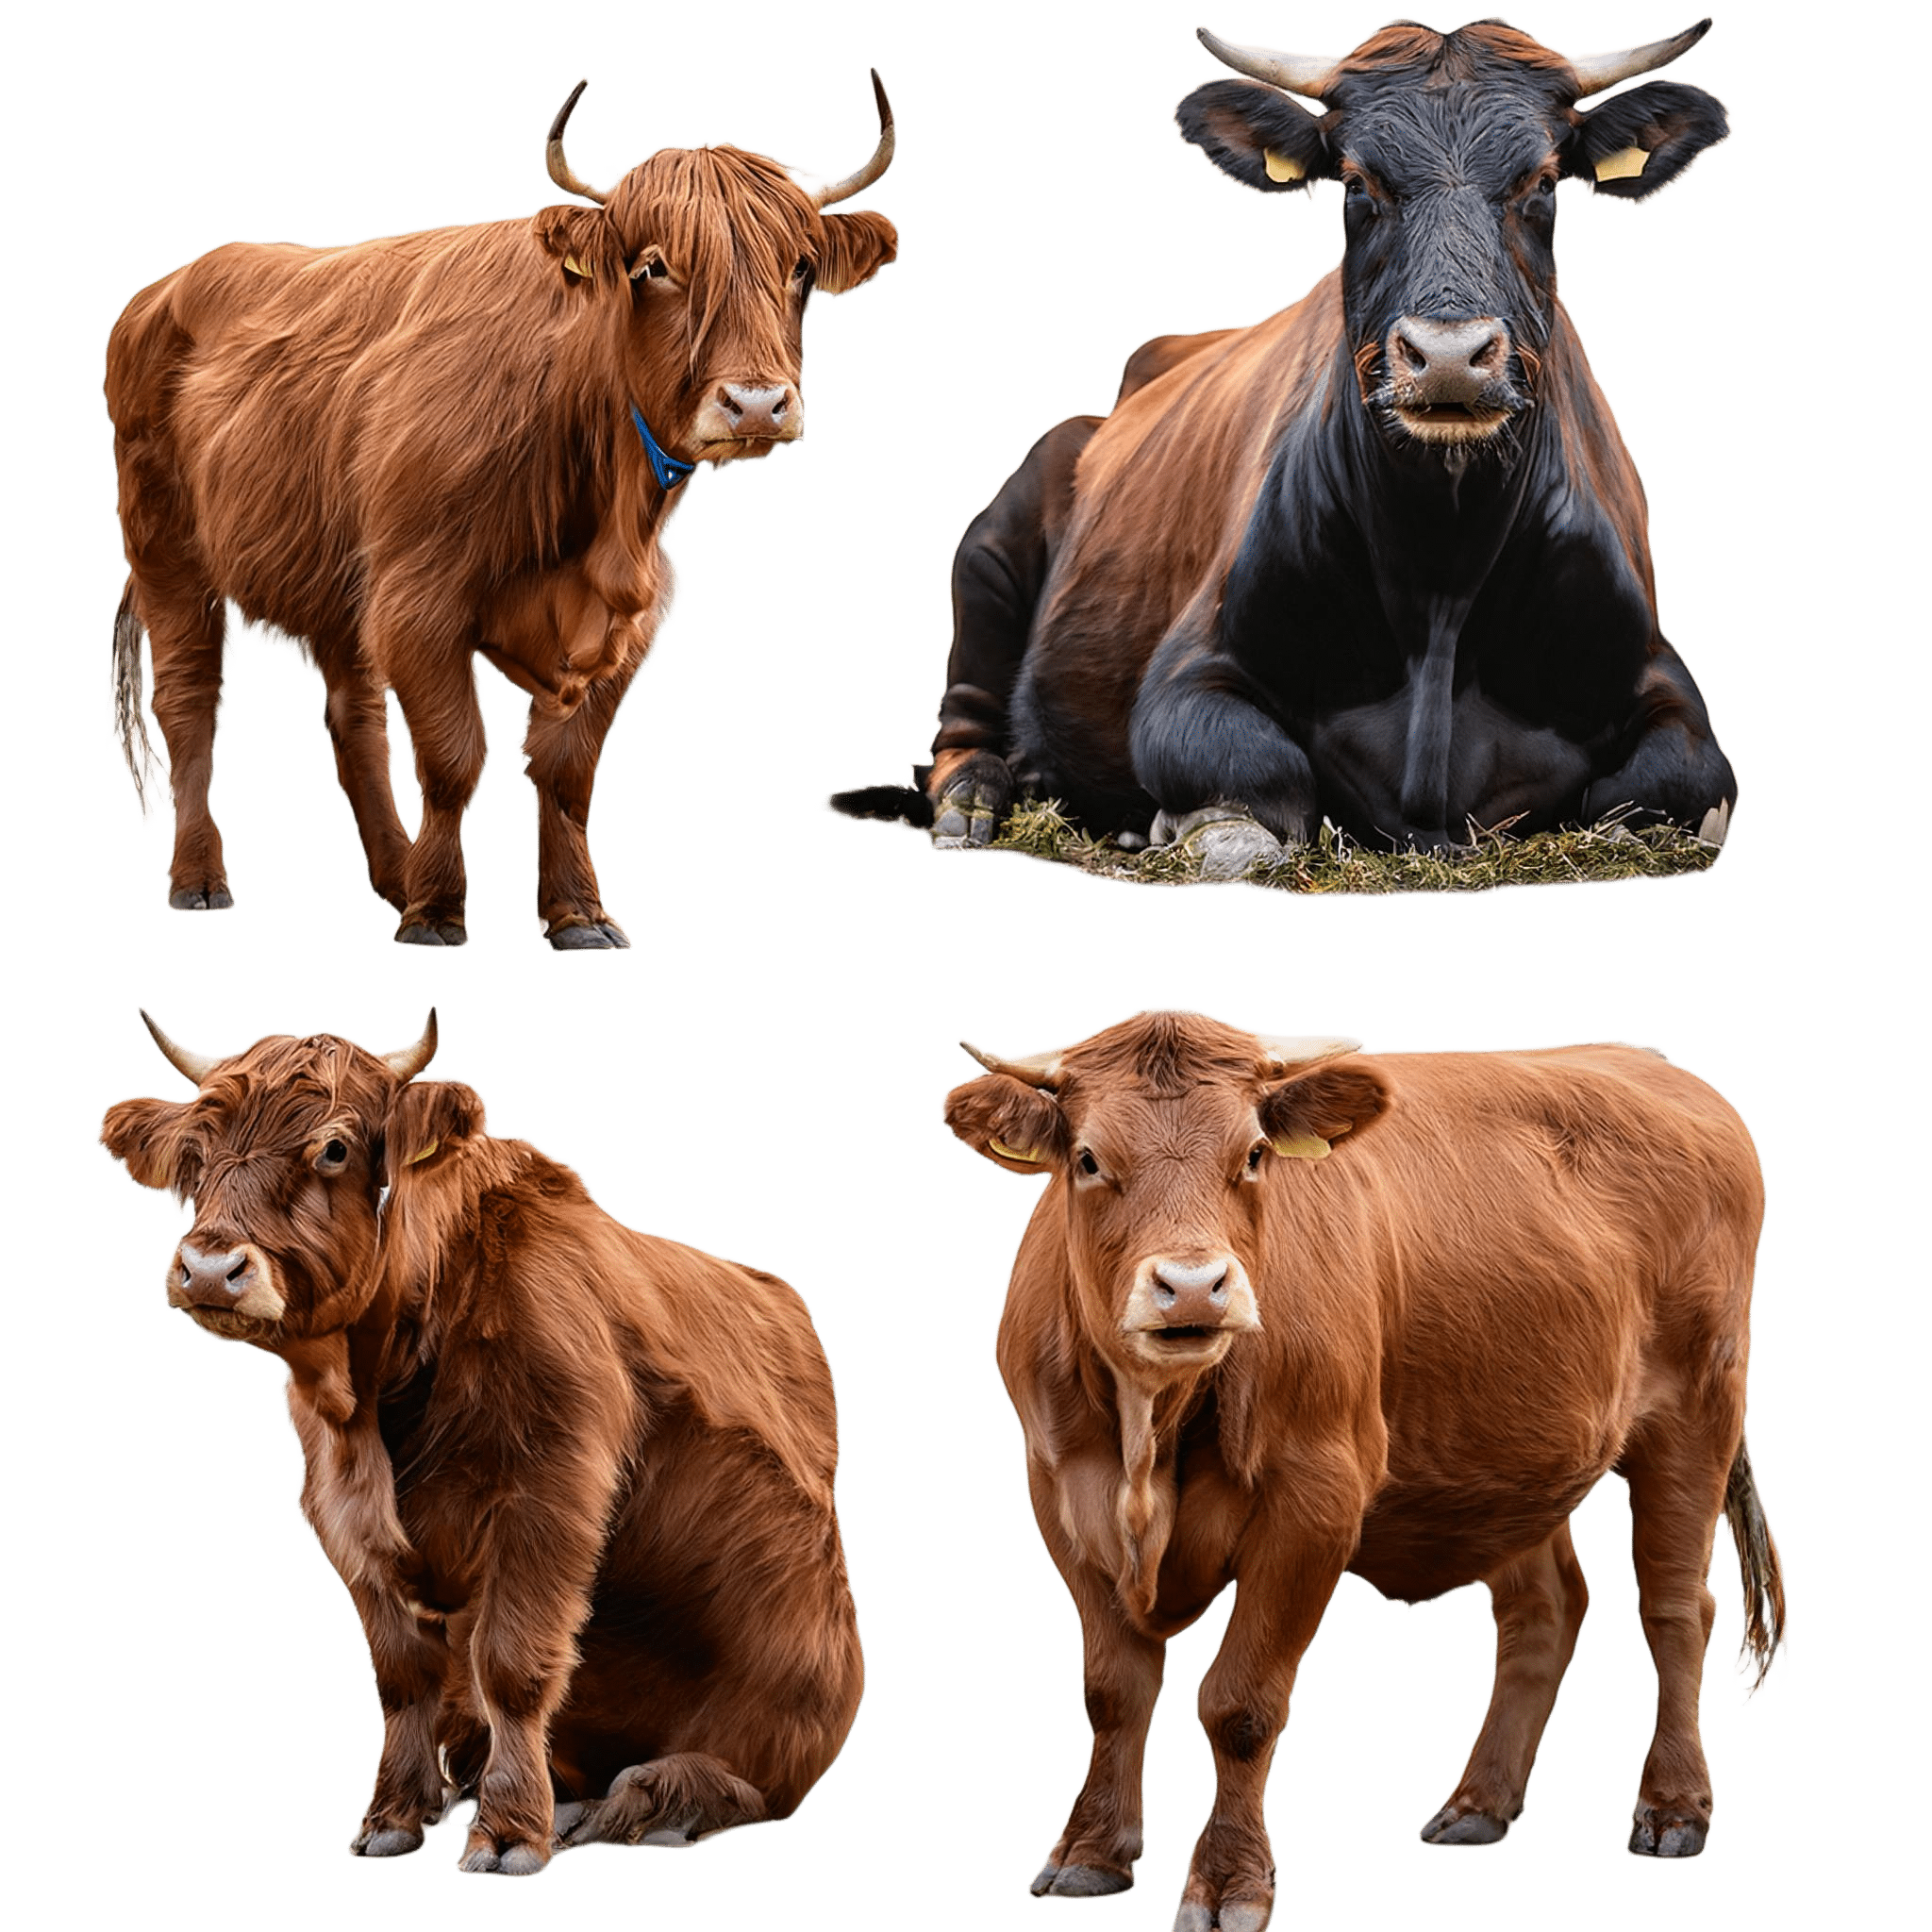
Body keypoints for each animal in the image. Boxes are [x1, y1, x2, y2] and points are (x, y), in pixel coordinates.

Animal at [100, 1010, 863, 1875]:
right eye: (195, 1154)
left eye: (334, 1147)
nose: (207, 1269)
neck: (376, 1392)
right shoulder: (344, 1517)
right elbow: (403, 1679)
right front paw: (394, 1815)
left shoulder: (549, 1497)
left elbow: (512, 1664)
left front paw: (509, 1833)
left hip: (794, 1675)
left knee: (752, 1781)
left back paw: (652, 1800)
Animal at [108, 75, 898, 947]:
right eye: (653, 267)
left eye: (801, 268)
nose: (757, 404)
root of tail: (165, 288)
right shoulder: (420, 601)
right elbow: (455, 756)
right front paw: (437, 913)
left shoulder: (616, 630)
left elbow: (566, 771)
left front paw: (578, 913)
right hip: (168, 553)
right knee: (189, 702)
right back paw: (202, 878)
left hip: (346, 582)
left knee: (356, 717)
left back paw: (394, 872)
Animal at [837, 20, 1735, 875]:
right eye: (1359, 183)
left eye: (1542, 182)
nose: (1448, 356)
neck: (1441, 578)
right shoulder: (1190, 673)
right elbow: (1246, 776)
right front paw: (1174, 825)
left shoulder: (1665, 682)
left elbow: (1681, 781)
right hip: (988, 552)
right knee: (961, 727)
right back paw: (976, 802)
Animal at [944, 1008, 1785, 1923]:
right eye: (1090, 1159)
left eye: (1254, 1154)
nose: (1194, 1287)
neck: (1150, 1431)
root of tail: (1652, 1064)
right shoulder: (1061, 1494)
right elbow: (1113, 1690)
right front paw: (1092, 1853)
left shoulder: (1315, 1500)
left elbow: (1240, 1702)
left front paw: (1229, 1882)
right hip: (1511, 1459)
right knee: (1545, 1612)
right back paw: (1478, 1804)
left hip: (1698, 1410)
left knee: (1675, 1607)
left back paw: (1673, 1808)